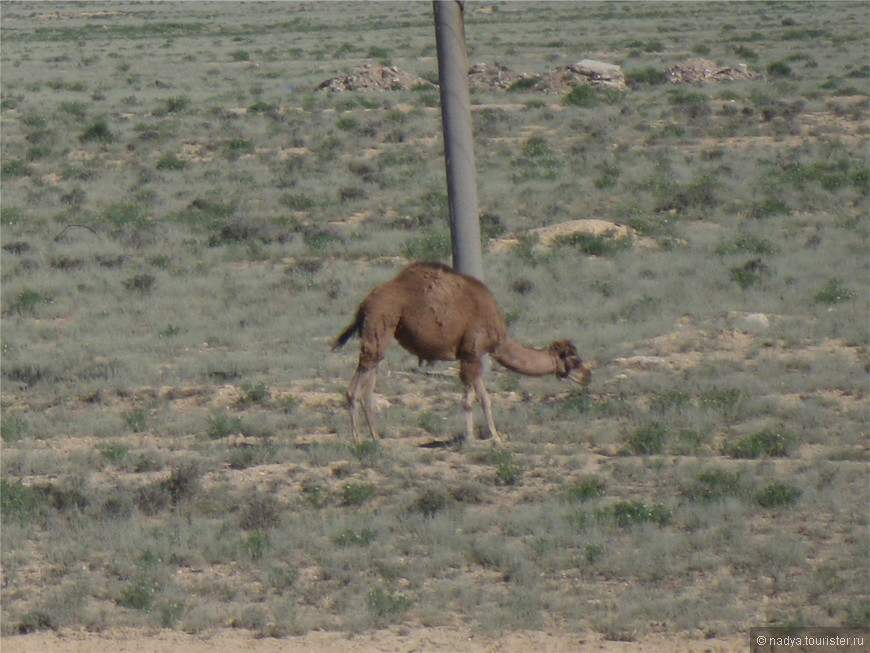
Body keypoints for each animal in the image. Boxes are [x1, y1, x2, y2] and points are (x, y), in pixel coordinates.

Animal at [334, 262, 592, 446]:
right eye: (575, 359)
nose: (588, 376)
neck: (499, 336)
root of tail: (364, 305)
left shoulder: (473, 356)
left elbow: (484, 398)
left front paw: (494, 437)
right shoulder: (472, 353)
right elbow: (470, 400)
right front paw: (472, 439)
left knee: (367, 382)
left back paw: (374, 437)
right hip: (380, 325)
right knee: (360, 380)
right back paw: (360, 439)